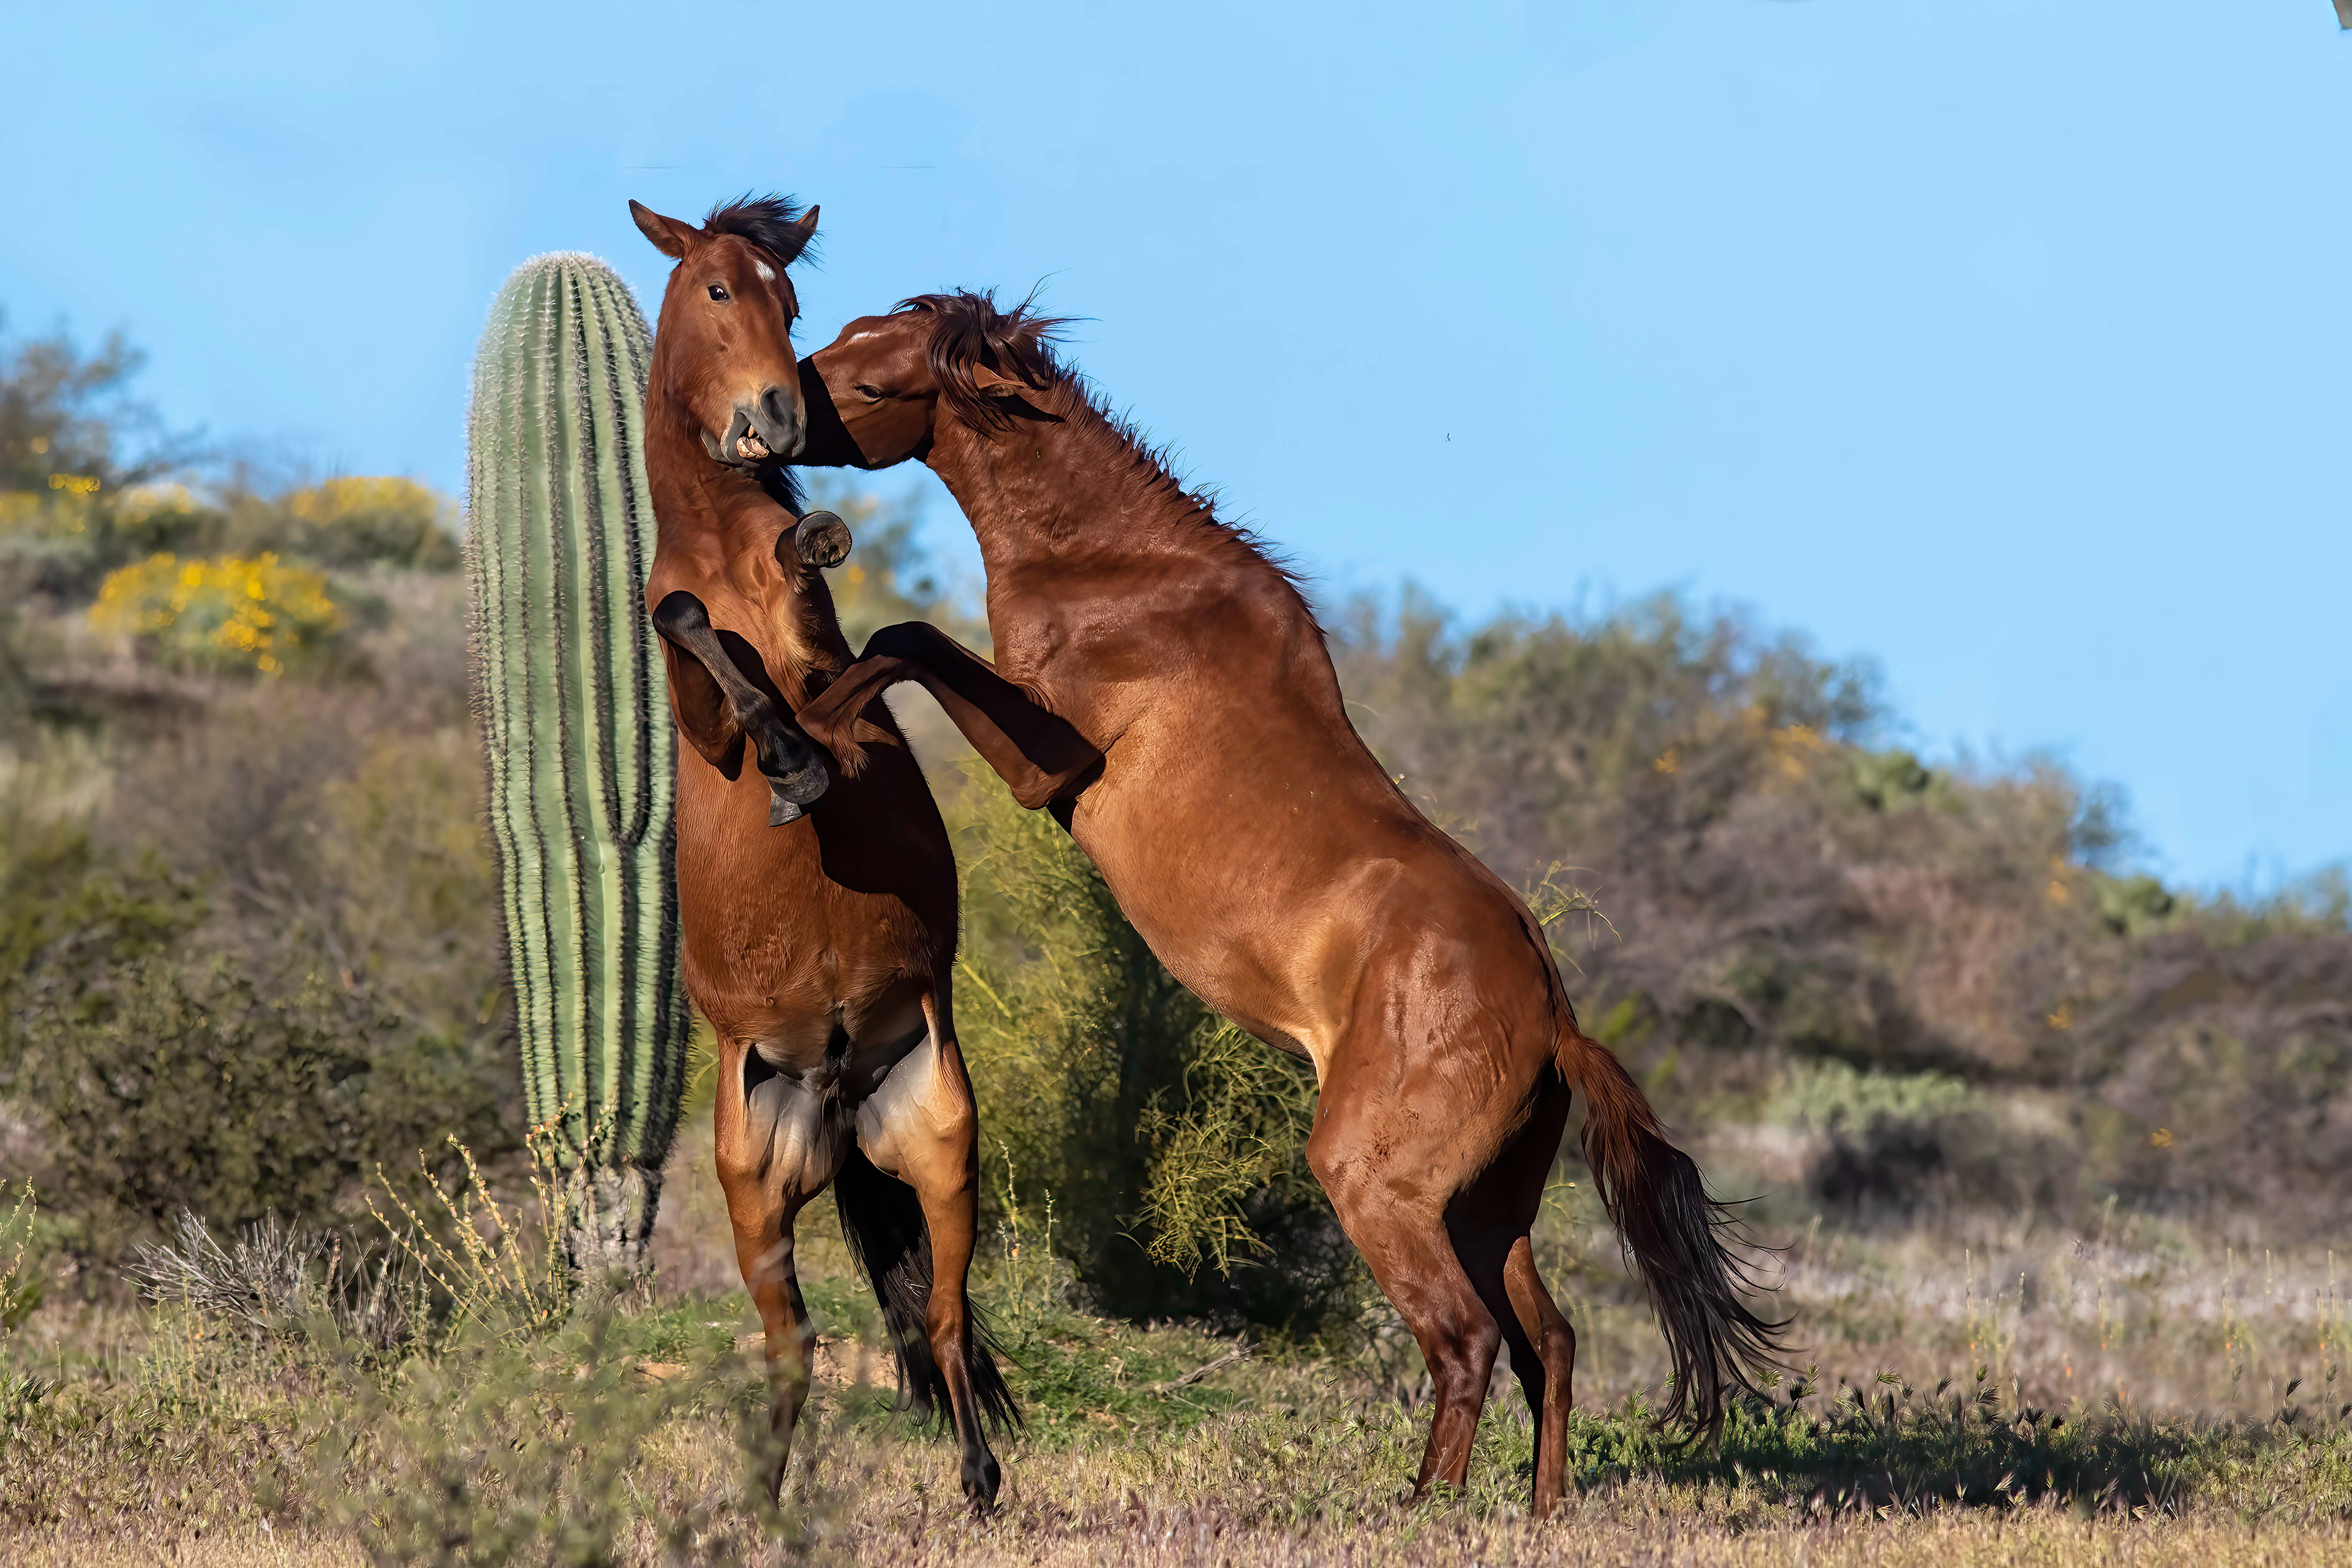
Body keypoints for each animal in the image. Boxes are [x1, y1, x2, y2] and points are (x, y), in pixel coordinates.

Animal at [627, 199, 1015, 1509]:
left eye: (789, 297)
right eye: (714, 290)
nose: (781, 418)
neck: (720, 544)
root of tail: (842, 1089)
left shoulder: (822, 649)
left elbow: (823, 604)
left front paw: (803, 754)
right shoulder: (696, 714)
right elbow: (685, 625)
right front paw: (787, 762)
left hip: (943, 1144)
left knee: (941, 1319)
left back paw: (980, 1481)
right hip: (755, 1185)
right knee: (794, 1342)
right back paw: (762, 1503)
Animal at [782, 290, 1785, 1517]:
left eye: (871, 380)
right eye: (841, 339)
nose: (769, 416)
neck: (1118, 566)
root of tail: (1554, 1020)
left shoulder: (1044, 767)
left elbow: (903, 639)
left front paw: (801, 733)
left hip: (1380, 1190)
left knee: (1465, 1343)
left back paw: (1419, 1510)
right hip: (1484, 1208)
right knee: (1547, 1342)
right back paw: (1539, 1511)